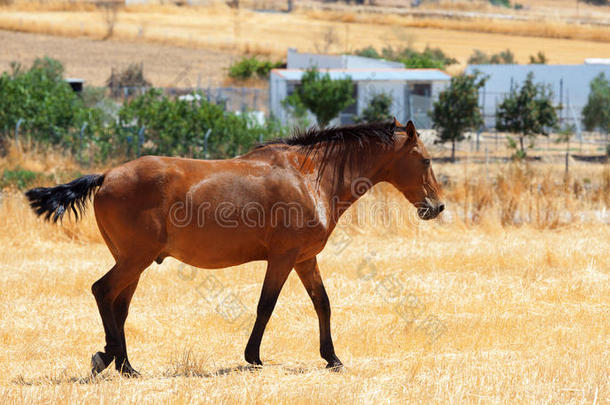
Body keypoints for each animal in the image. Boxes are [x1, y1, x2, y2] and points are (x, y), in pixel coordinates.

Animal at [25, 117, 442, 376]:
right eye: (425, 160)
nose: (436, 207)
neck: (309, 177)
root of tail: (107, 176)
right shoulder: (283, 258)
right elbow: (266, 306)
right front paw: (253, 357)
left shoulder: (306, 259)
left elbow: (321, 303)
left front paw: (332, 357)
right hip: (134, 260)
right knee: (102, 292)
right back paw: (108, 357)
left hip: (133, 263)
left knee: (119, 306)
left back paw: (125, 365)